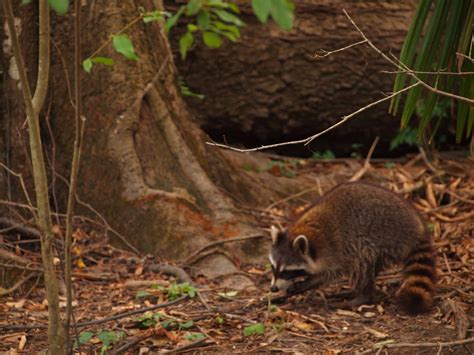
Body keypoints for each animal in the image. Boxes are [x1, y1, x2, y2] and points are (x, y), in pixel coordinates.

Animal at [270, 182, 436, 316]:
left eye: (287, 272)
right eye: (273, 267)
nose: (273, 289)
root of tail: (418, 227)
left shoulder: (335, 251)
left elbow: (329, 274)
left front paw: (307, 283)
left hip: (385, 235)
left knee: (363, 261)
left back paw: (362, 297)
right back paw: (352, 292)